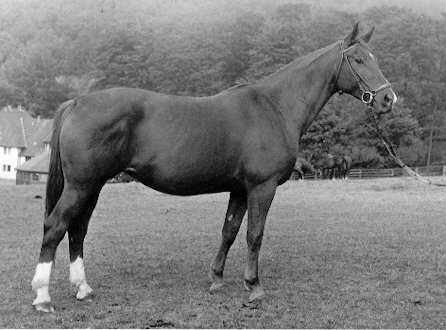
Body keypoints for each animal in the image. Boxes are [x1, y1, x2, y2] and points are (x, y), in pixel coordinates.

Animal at [32, 23, 398, 312]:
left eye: (375, 58)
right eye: (358, 59)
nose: (388, 99)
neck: (274, 107)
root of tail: (77, 102)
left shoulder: (239, 189)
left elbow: (229, 232)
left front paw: (217, 279)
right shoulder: (261, 187)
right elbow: (254, 235)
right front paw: (254, 287)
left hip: (91, 187)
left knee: (77, 230)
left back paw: (83, 288)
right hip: (81, 186)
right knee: (55, 227)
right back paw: (42, 297)